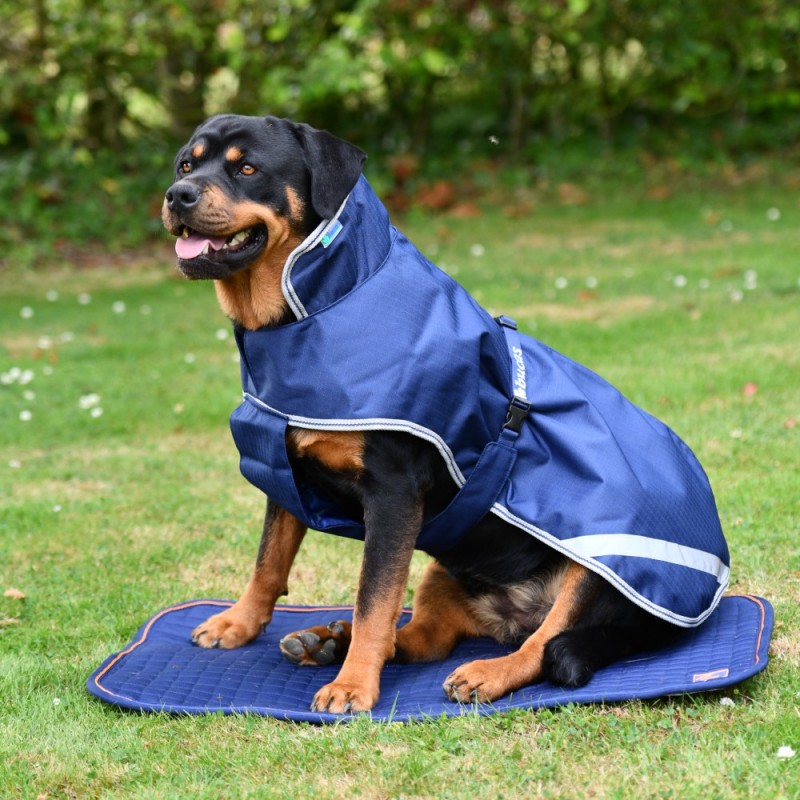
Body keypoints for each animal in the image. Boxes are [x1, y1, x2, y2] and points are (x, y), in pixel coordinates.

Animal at [161, 112, 680, 712]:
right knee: (423, 636)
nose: (178, 194)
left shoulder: (394, 491)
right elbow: (270, 559)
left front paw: (352, 688)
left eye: (247, 169)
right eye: (187, 164)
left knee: (544, 644)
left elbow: (373, 596)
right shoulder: (287, 466)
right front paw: (239, 624)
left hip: (592, 568)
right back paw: (328, 640)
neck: (315, 310)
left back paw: (483, 672)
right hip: (443, 567)